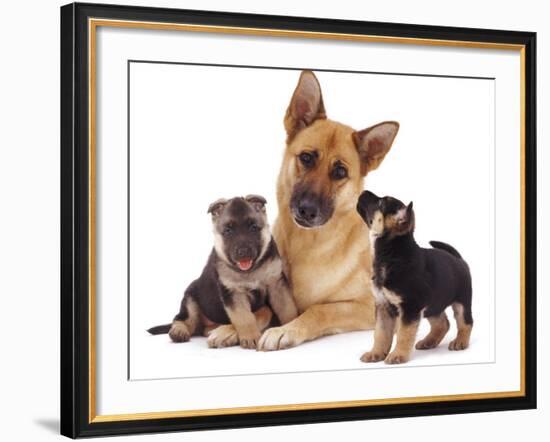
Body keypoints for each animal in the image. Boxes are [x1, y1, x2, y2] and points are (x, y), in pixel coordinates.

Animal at [147, 196, 300, 348]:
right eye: (228, 231)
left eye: (253, 228)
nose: (243, 251)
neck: (251, 271)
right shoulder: (233, 293)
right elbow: (244, 317)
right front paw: (250, 336)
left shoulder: (276, 285)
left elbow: (287, 309)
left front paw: (288, 326)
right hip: (190, 300)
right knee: (182, 319)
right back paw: (179, 331)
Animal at [254, 71, 402, 350]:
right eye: (307, 158)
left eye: (340, 172)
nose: (306, 210)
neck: (306, 246)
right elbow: (260, 310)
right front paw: (227, 329)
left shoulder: (369, 305)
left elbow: (321, 309)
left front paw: (286, 330)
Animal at [358, 192, 474, 364]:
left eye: (380, 203)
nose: (363, 192)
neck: (391, 254)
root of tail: (458, 259)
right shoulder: (383, 306)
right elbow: (380, 333)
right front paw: (376, 353)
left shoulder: (410, 307)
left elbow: (404, 333)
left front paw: (398, 355)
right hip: (433, 304)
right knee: (443, 324)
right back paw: (429, 341)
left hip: (461, 302)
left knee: (465, 322)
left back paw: (460, 342)